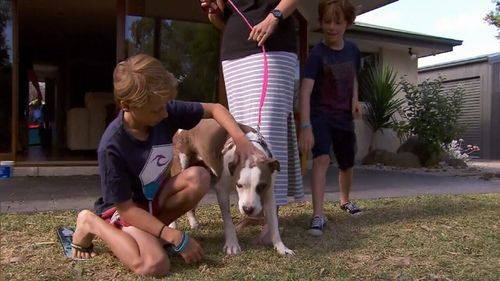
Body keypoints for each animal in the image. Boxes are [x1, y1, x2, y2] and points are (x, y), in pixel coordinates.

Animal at [171, 118, 292, 256]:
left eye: (261, 186)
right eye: (239, 185)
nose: (248, 209)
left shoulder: (269, 193)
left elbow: (273, 222)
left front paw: (281, 247)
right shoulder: (222, 190)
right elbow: (228, 219)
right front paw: (232, 245)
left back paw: (193, 223)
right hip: (180, 167)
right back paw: (172, 227)